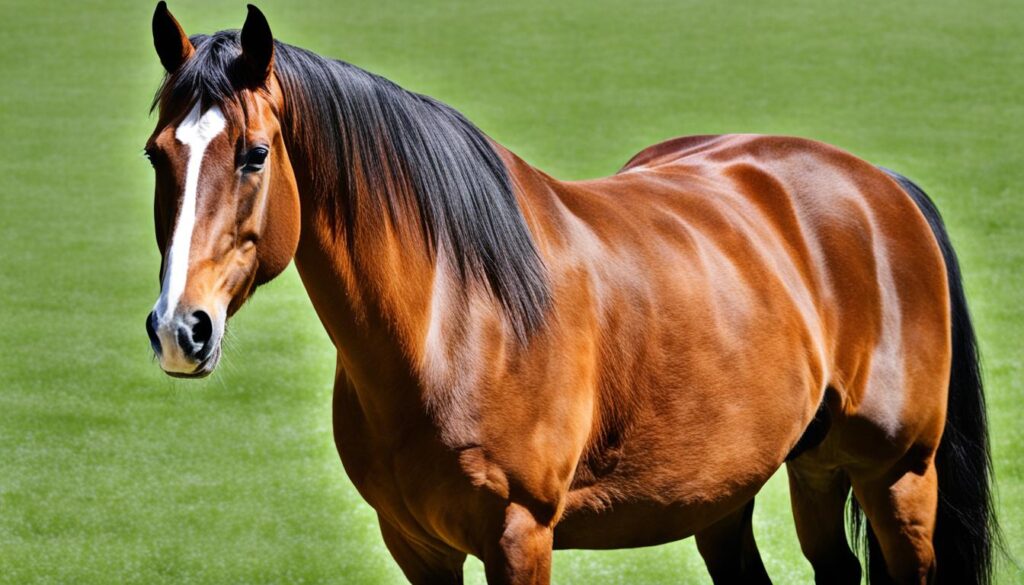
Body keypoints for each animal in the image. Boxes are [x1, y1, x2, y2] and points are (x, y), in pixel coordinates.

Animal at [142, 4, 997, 584]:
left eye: (254, 154)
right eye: (157, 153)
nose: (181, 329)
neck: (454, 317)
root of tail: (881, 187)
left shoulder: (519, 535)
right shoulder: (415, 543)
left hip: (897, 478)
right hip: (771, 479)